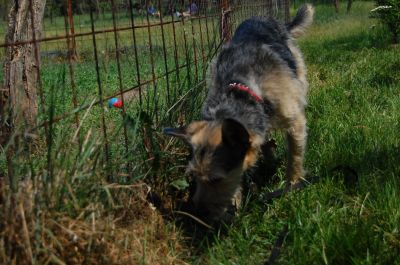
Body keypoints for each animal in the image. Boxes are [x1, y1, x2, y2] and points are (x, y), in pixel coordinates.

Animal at [164, 4, 314, 221]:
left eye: (216, 179)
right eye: (193, 176)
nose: (199, 213)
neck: (240, 90)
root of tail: (266, 19)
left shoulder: (295, 122)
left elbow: (294, 157)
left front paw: (292, 187)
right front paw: (235, 203)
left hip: (297, 70)